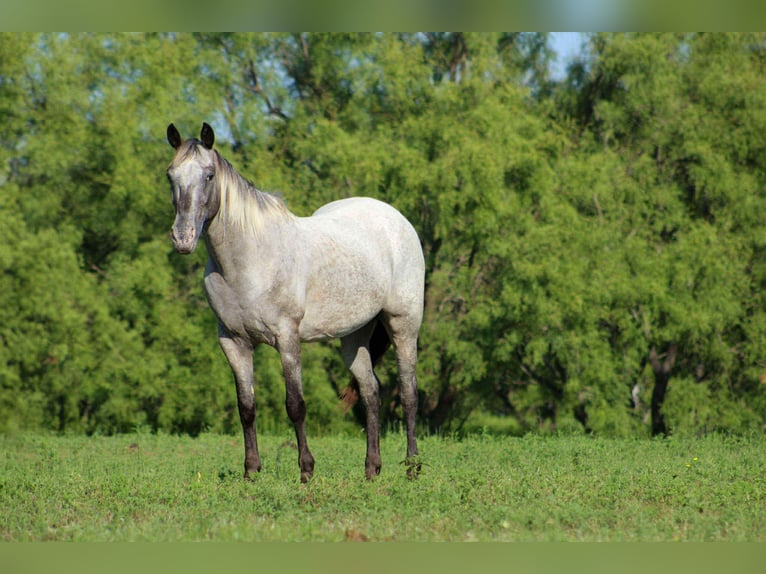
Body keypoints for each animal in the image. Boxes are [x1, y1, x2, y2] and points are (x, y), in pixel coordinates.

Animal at [165, 122, 424, 482]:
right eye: (170, 175)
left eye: (209, 175)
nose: (183, 238)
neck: (250, 259)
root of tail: (397, 219)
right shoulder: (233, 342)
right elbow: (246, 407)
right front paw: (251, 472)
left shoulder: (287, 338)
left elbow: (295, 404)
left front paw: (306, 471)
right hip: (354, 335)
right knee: (371, 392)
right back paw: (371, 469)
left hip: (403, 324)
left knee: (409, 392)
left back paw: (412, 467)